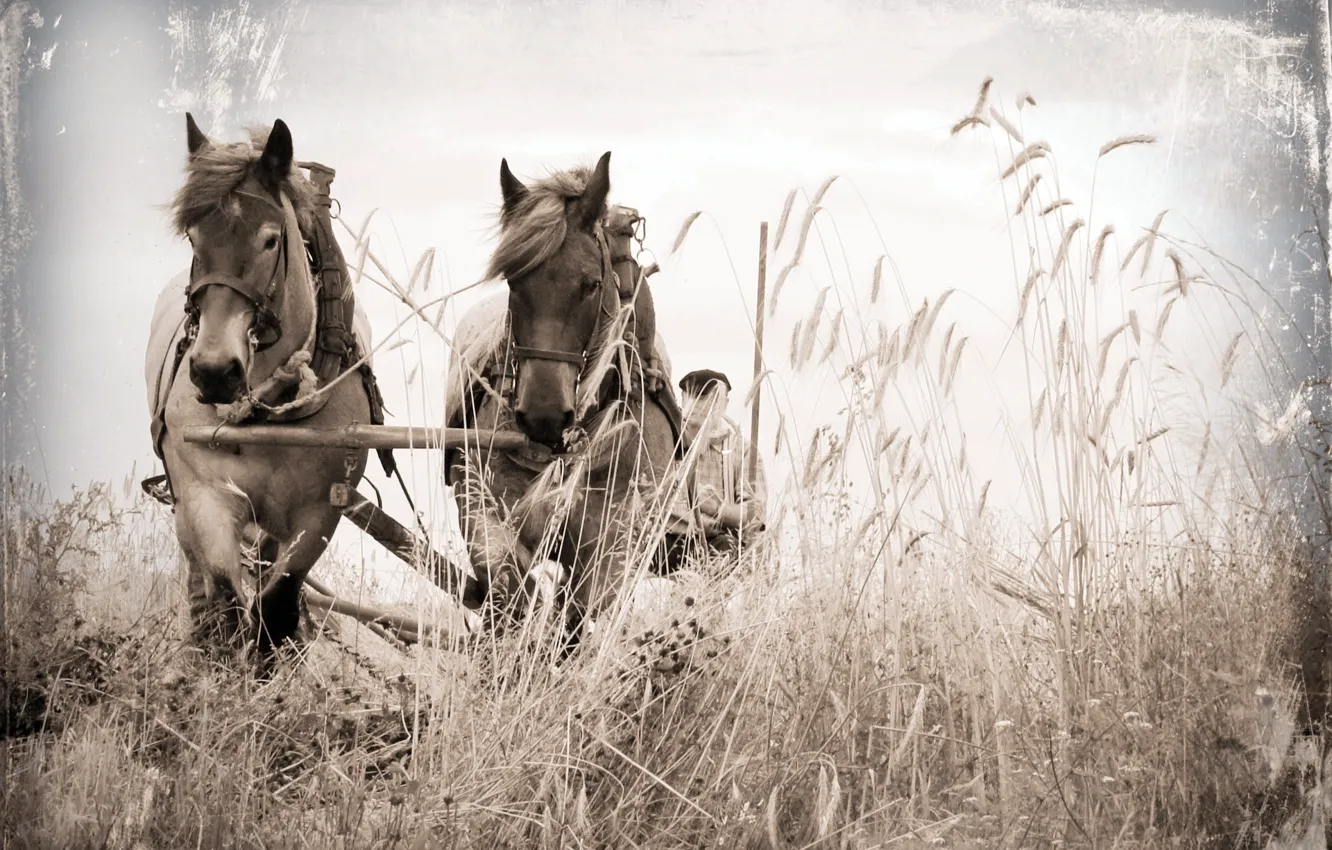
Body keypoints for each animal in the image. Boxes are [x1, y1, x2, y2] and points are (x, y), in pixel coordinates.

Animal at [146, 114, 390, 669]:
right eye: (193, 237)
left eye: (271, 240)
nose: (215, 371)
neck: (267, 409)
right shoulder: (206, 495)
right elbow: (226, 595)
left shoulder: (319, 512)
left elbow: (275, 607)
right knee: (202, 582)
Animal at [443, 152, 684, 656]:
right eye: (514, 280)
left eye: (591, 284)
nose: (544, 415)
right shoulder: (479, 502)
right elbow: (505, 583)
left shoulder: (618, 538)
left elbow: (583, 609)